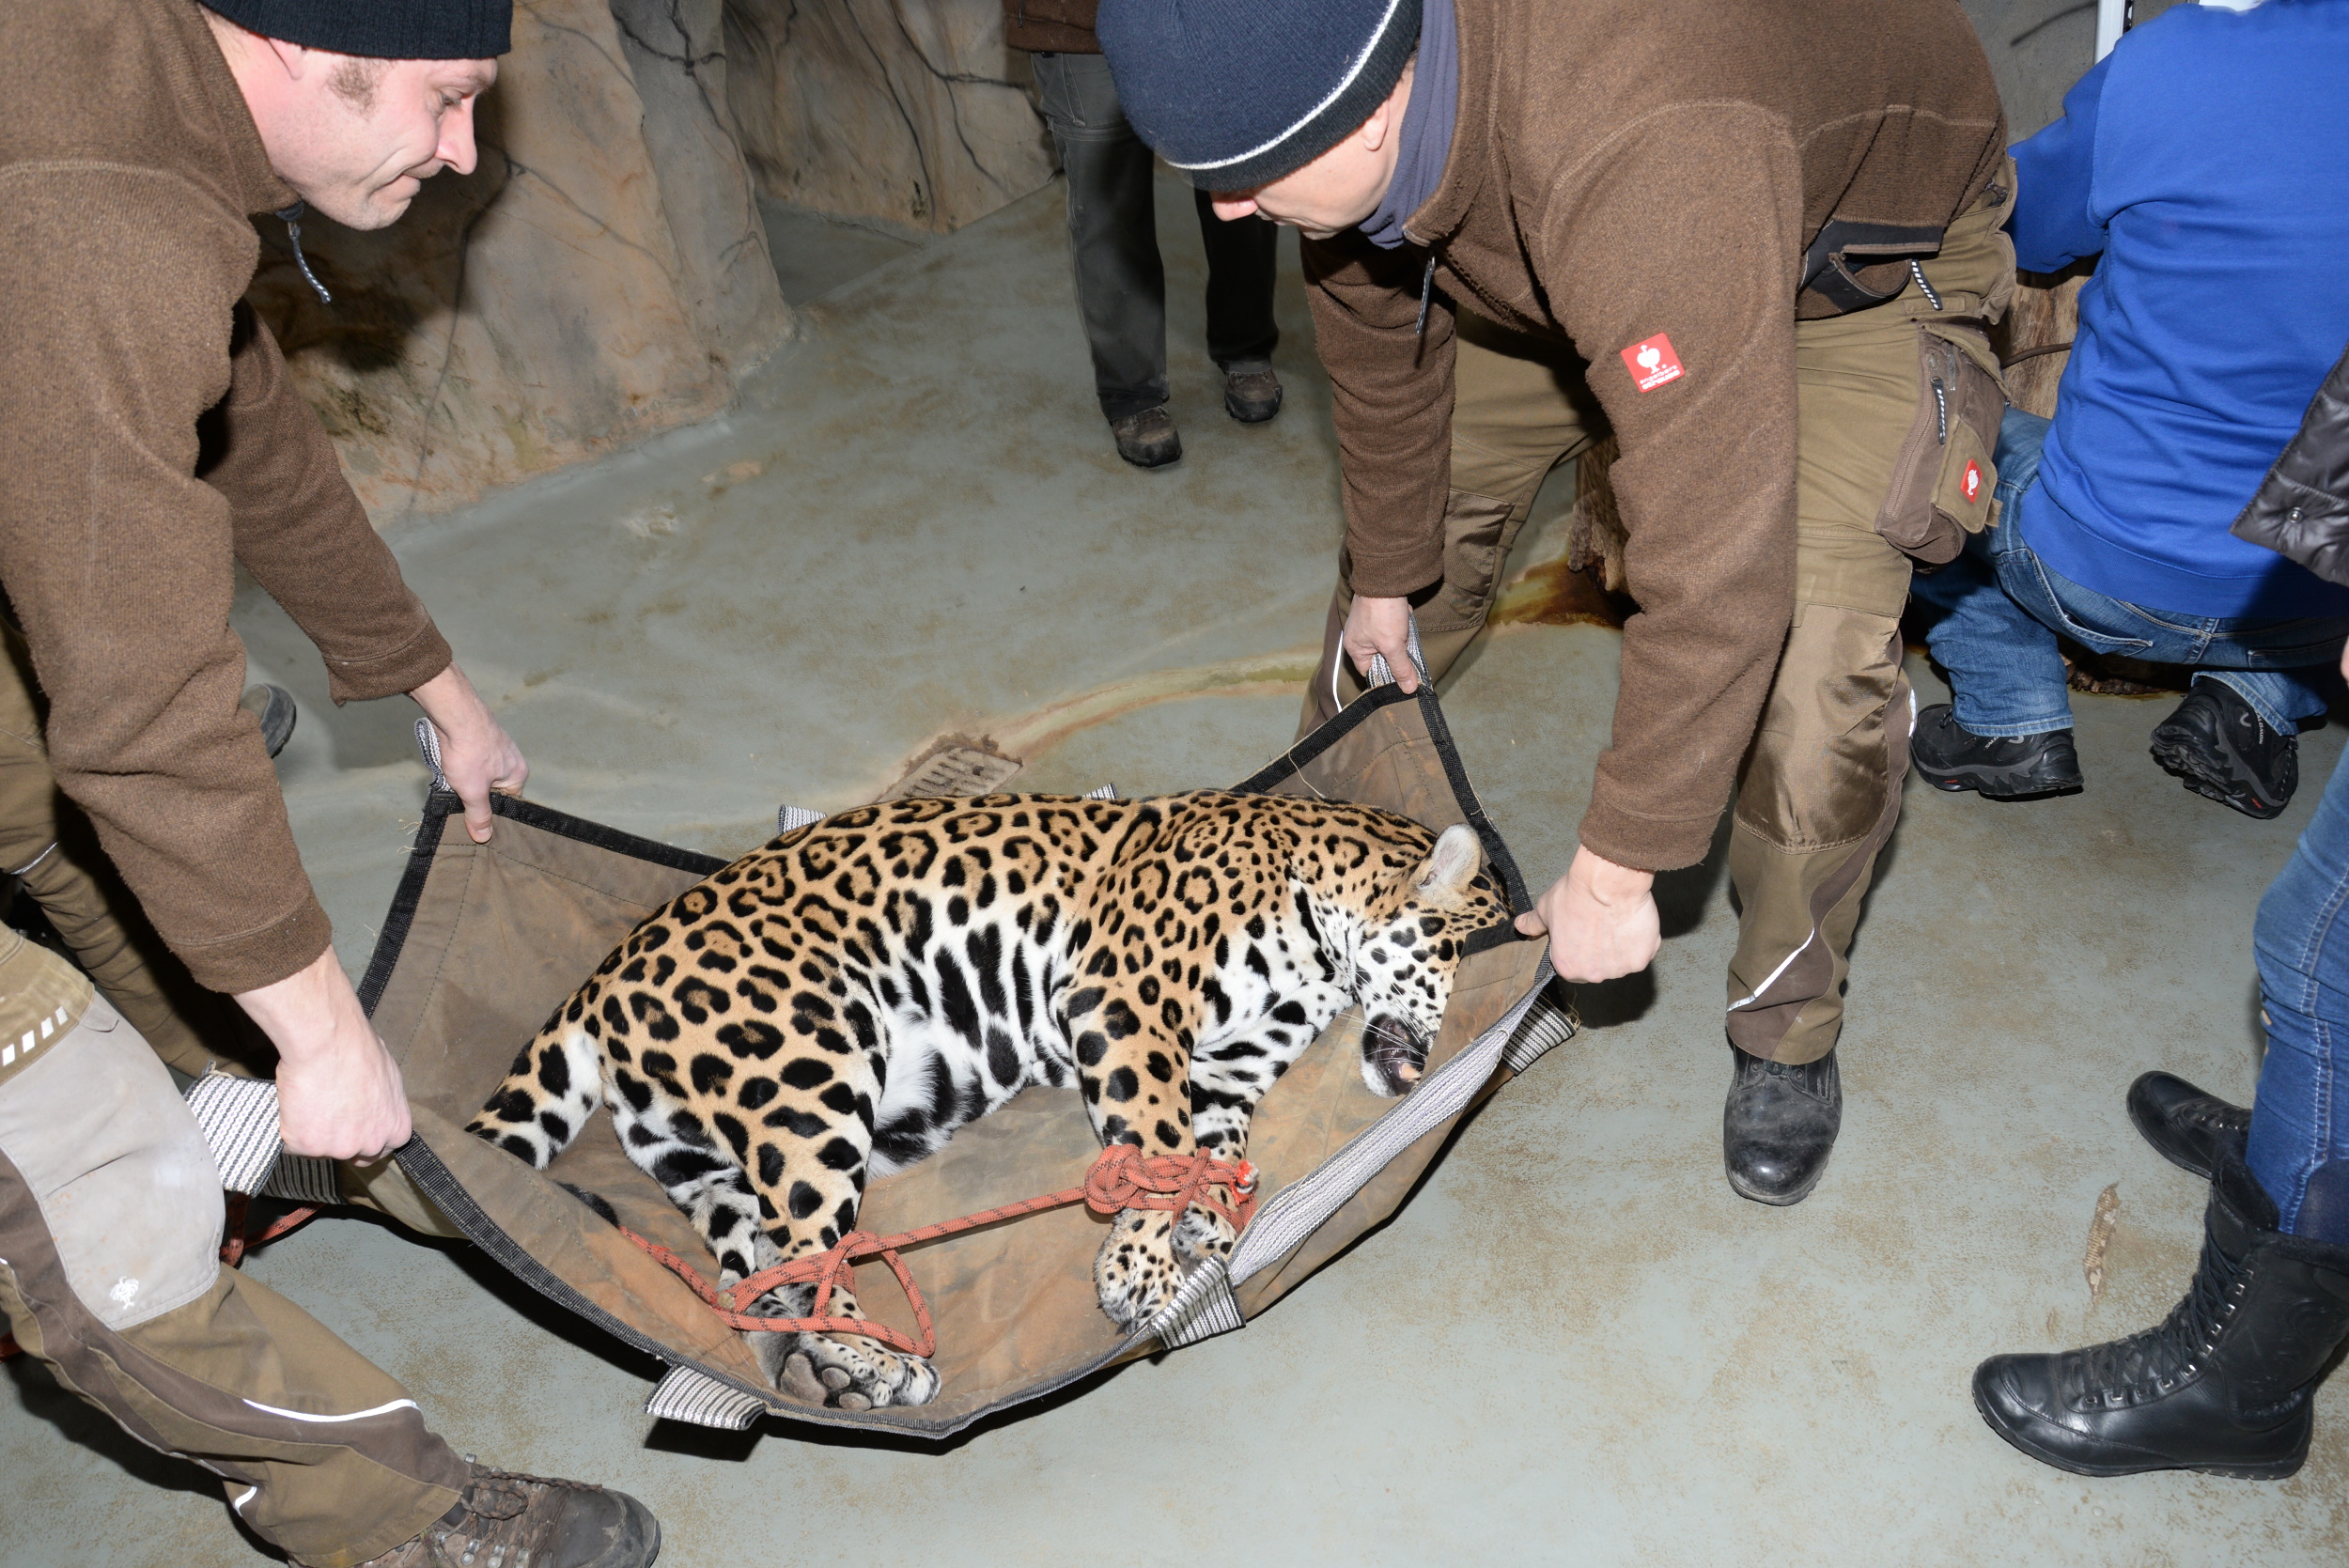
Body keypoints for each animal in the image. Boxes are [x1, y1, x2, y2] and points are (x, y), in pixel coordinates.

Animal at [465, 789, 1506, 1411]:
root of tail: (603, 978)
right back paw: (884, 1362)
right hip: (809, 1074)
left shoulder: (1229, 1062)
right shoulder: (1126, 996)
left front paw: (1201, 1223)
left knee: (754, 1277)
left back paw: (830, 1366)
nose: (1439, 1052)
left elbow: (1198, 1145)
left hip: (712, 1166)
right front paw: (1138, 1272)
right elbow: (1152, 1138)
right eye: (1461, 953)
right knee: (808, 1249)